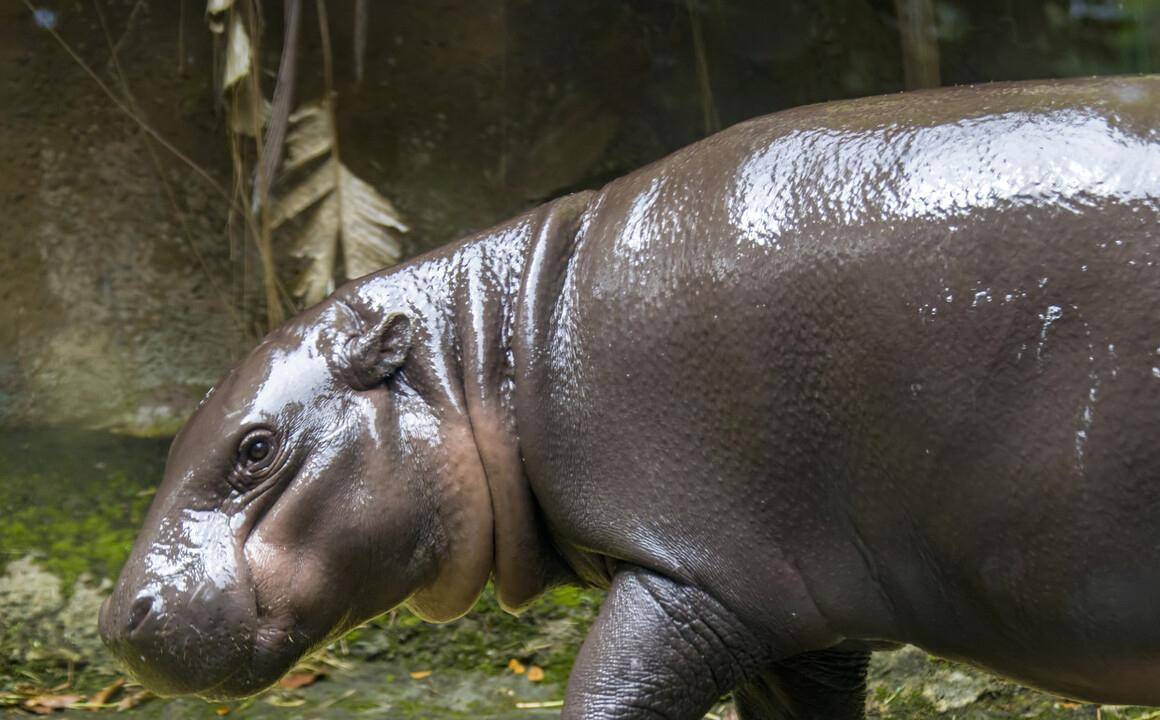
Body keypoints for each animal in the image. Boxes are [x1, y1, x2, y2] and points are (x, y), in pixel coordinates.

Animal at [99, 75, 1160, 714]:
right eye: (180, 440)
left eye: (256, 449)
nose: (117, 620)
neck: (494, 347)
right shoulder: (810, 620)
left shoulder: (697, 577)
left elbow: (609, 693)